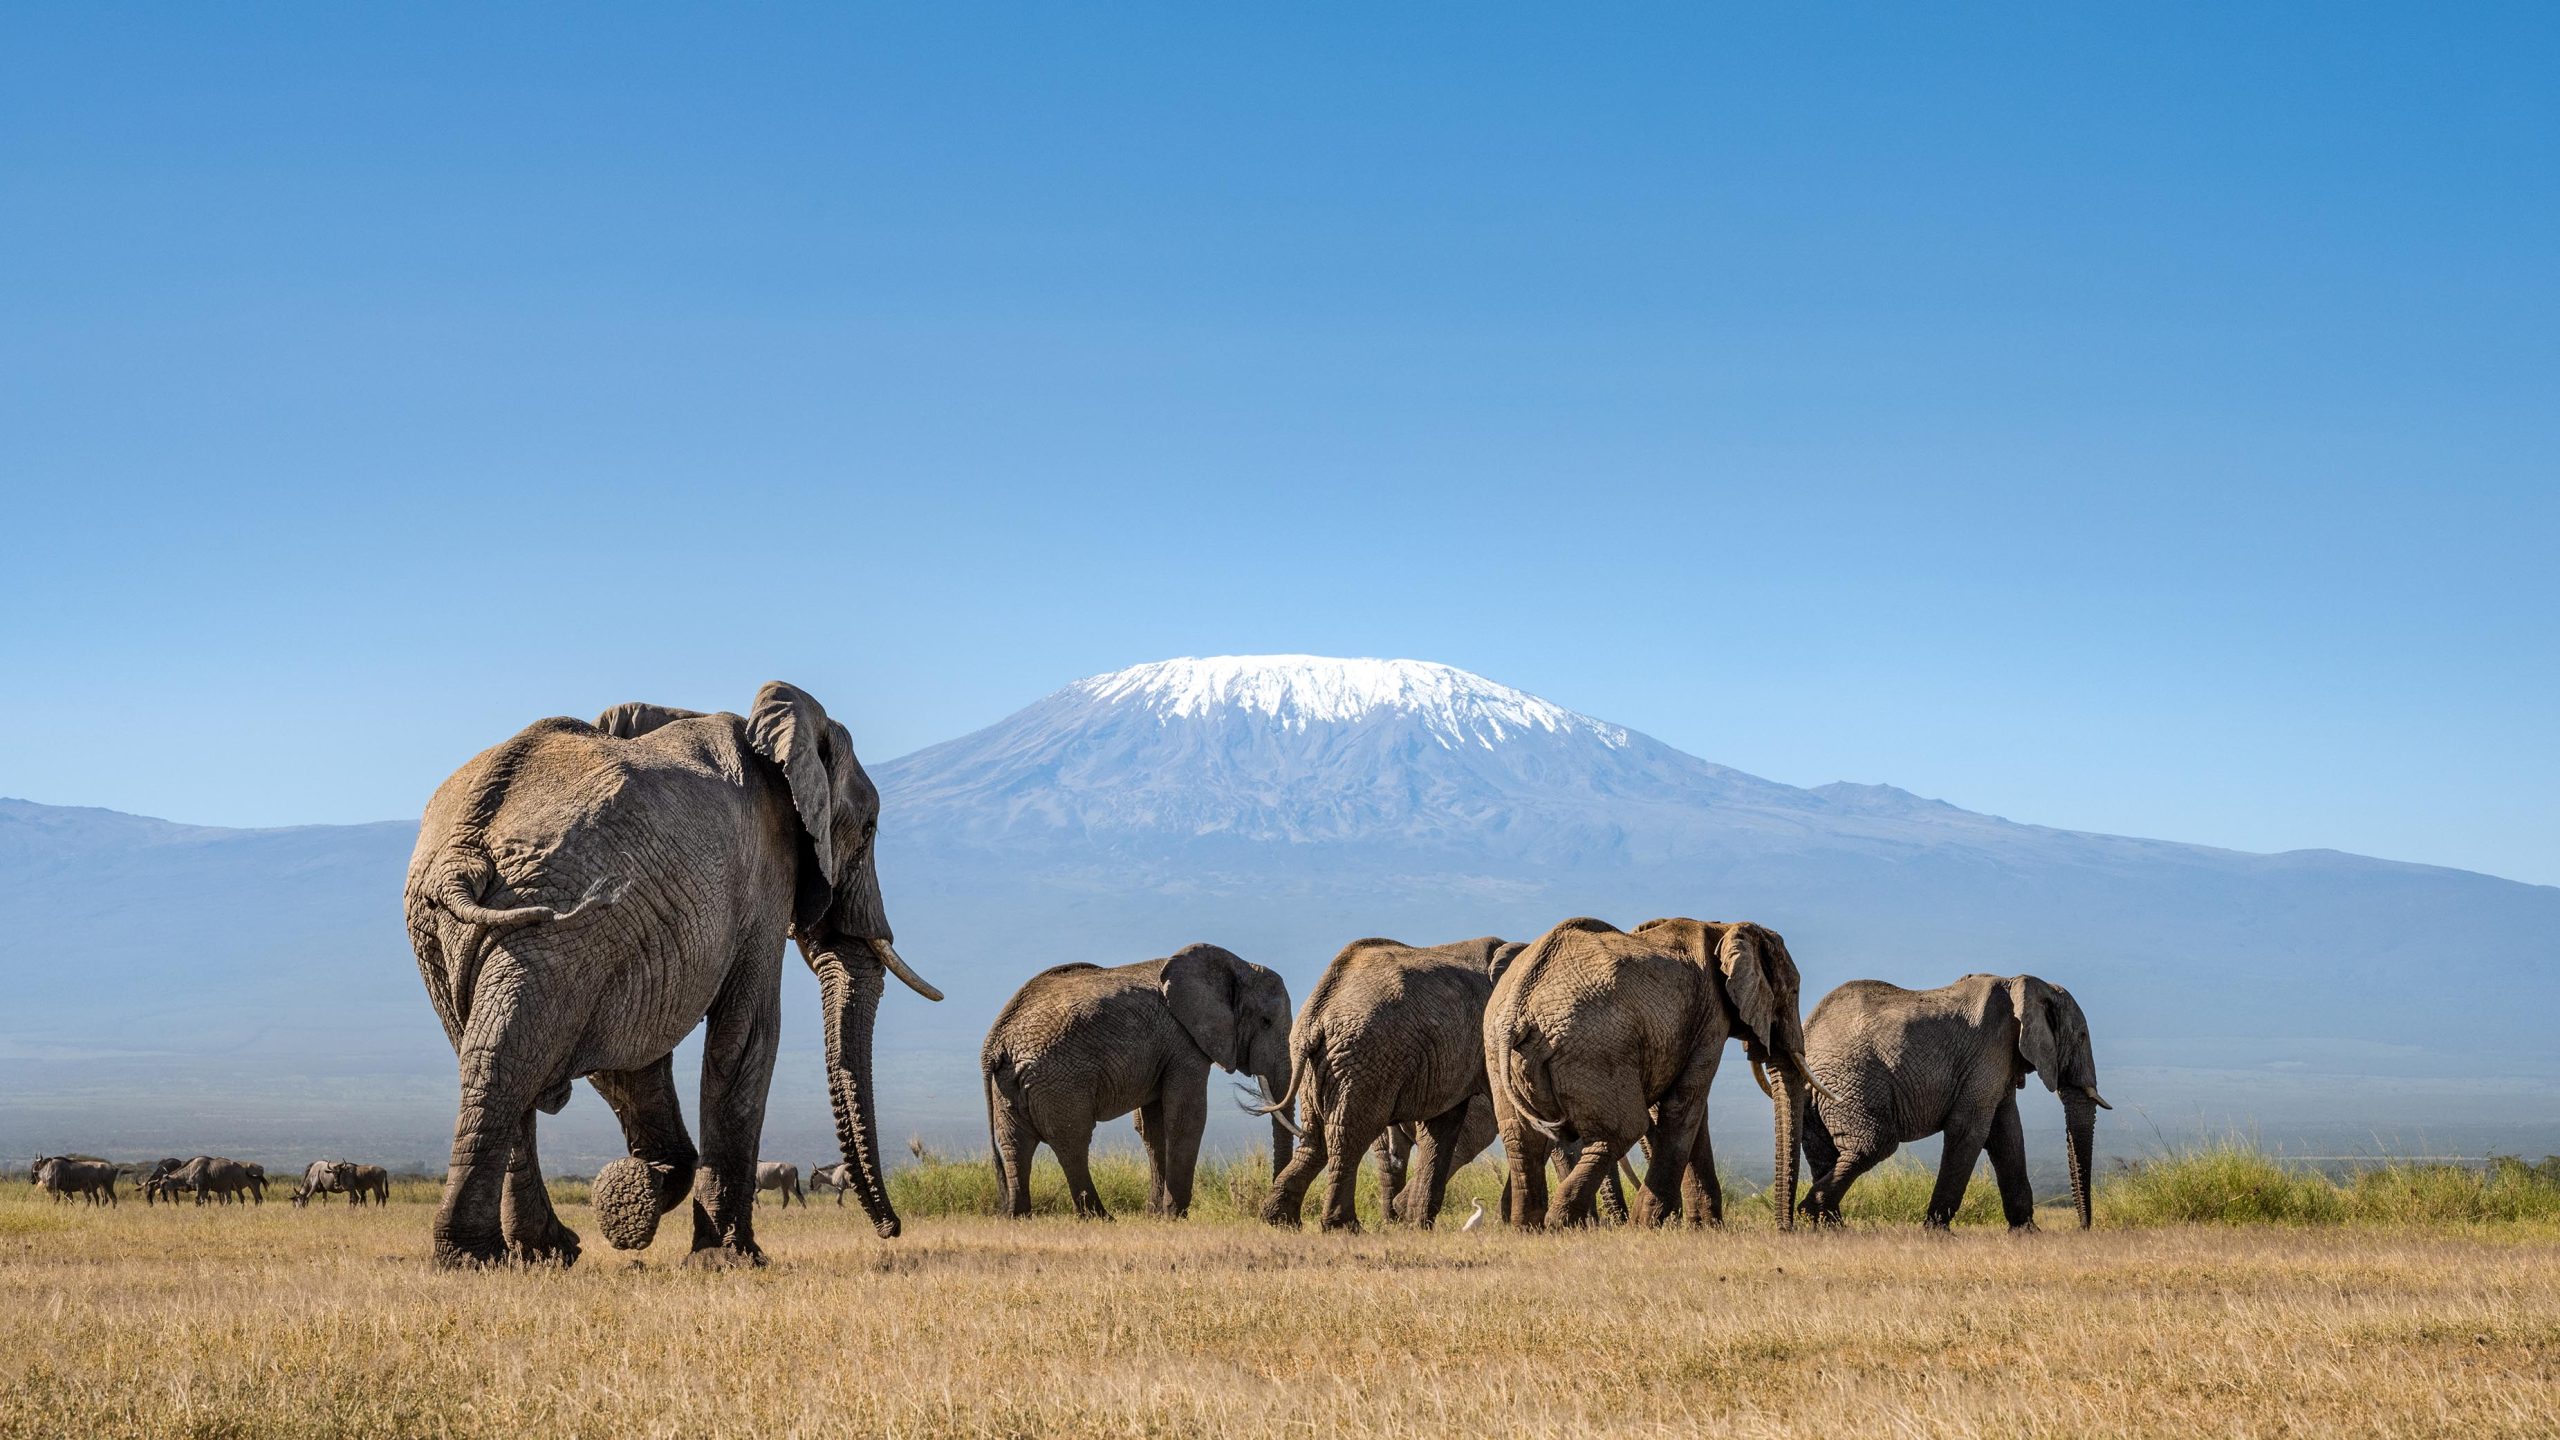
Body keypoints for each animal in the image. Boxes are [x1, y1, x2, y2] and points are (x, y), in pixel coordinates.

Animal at [407, 676, 942, 1260]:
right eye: (868, 829)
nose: (892, 1229)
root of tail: (462, 852)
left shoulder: (633, 931)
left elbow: (630, 1055)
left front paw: (635, 1198)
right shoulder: (762, 872)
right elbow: (747, 1033)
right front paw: (729, 1258)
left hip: (469, 932)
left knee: (493, 1053)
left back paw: (539, 1251)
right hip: (548, 921)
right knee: (510, 1056)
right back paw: (483, 1256)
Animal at [983, 937, 1290, 1214]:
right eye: (1266, 1022)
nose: (1269, 1210)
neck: (1238, 965)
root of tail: (995, 1042)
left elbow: (1153, 1127)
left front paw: (1155, 1214)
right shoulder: (1183, 1042)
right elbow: (1186, 1117)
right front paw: (1175, 1214)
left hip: (1008, 1083)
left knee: (1015, 1145)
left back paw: (1017, 1215)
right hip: (1059, 1079)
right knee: (1072, 1142)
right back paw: (1101, 1218)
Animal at [1259, 937, 1515, 1229]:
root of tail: (1317, 1010)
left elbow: (1442, 1128)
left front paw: (1419, 1226)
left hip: (1326, 1065)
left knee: (1317, 1137)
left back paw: (1280, 1220)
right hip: (1366, 1057)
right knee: (1350, 1135)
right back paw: (1344, 1226)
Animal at [1484, 912, 1822, 1229]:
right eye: (1793, 991)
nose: (1785, 1228)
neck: (1723, 927)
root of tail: (1518, 1007)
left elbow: (1688, 1110)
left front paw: (1703, 1227)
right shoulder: (1711, 1015)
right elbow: (1686, 1101)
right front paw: (1650, 1225)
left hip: (1499, 1054)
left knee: (1521, 1139)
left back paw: (1530, 1227)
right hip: (1596, 1047)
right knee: (1622, 1129)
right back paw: (1564, 1223)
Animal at [1792, 963, 2109, 1219]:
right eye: (2082, 1037)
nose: (2083, 1228)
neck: (2025, 984)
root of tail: (1808, 1031)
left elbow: (2008, 1134)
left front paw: (2027, 1233)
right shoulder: (1989, 1050)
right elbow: (1969, 1129)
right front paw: (1937, 1230)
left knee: (1826, 1152)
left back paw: (1828, 1224)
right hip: (1851, 1081)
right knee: (1873, 1144)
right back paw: (1811, 1213)